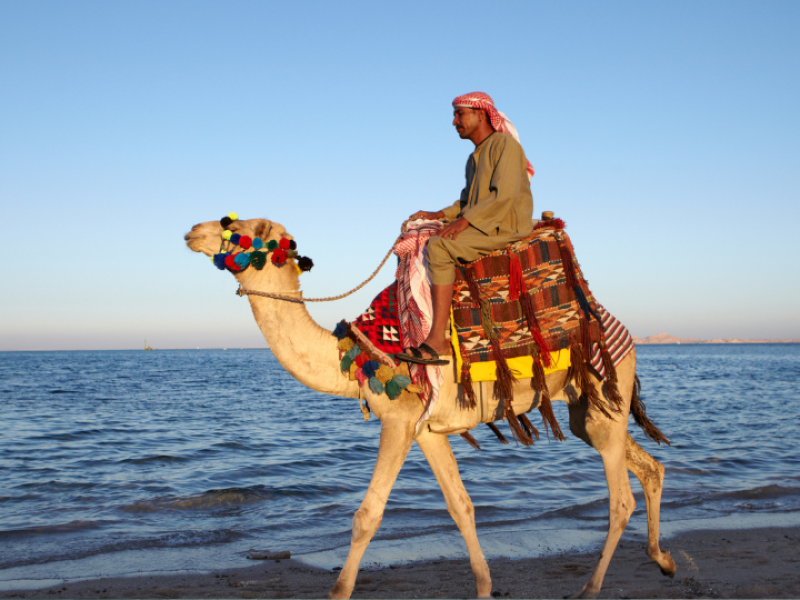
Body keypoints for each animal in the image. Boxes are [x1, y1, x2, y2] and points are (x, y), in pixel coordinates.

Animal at [184, 217, 677, 599]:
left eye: (245, 228)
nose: (193, 231)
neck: (362, 355)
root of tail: (622, 332)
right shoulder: (426, 430)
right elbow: (461, 506)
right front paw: (484, 586)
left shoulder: (399, 420)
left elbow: (367, 516)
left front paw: (338, 591)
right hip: (585, 410)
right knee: (649, 467)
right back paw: (664, 560)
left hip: (604, 390)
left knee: (620, 500)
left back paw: (591, 588)